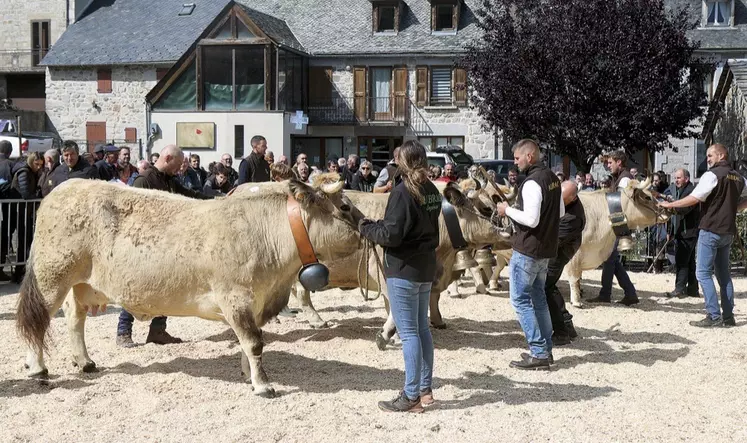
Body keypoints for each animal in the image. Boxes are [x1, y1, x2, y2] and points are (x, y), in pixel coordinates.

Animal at [15, 175, 366, 398]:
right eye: (345, 207)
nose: (366, 225)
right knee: (39, 320)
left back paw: (84, 362)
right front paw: (264, 385)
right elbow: (254, 342)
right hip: (51, 277)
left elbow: (248, 341)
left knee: (75, 318)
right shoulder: (234, 296)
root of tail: (65, 187)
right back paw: (37, 367)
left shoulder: (256, 302)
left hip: (82, 285)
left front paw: (248, 375)